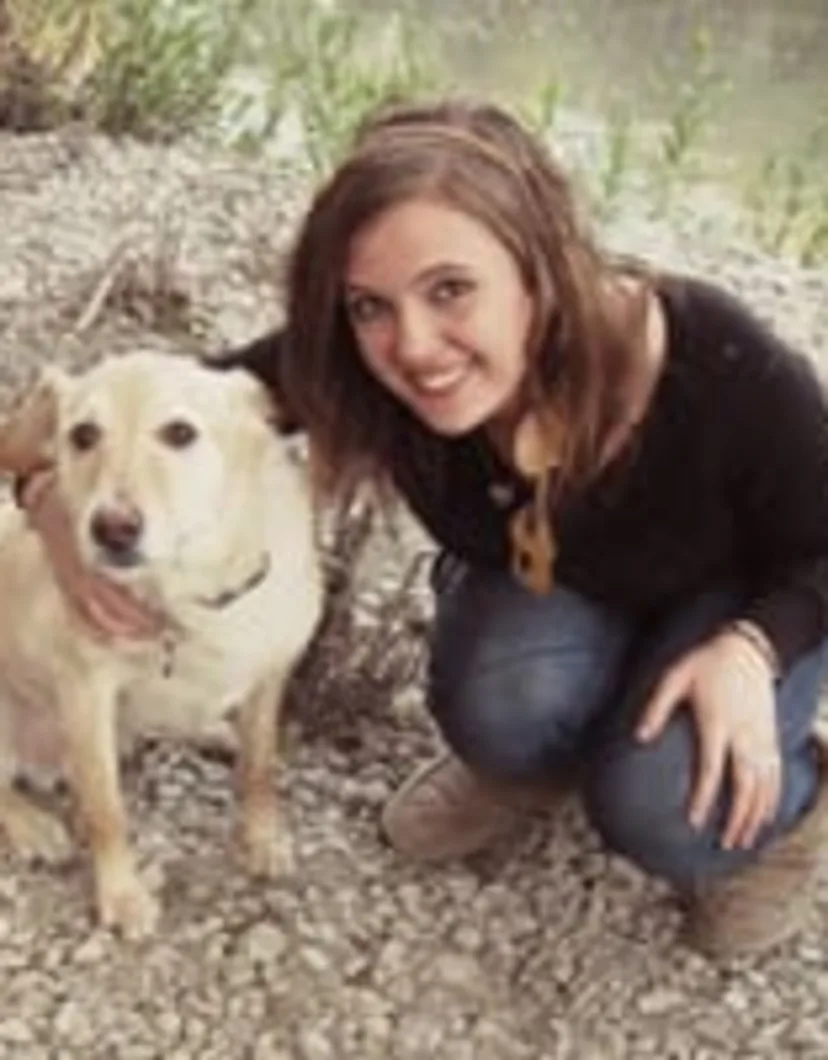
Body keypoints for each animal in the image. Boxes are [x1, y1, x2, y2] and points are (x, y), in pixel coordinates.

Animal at [0, 351, 322, 941]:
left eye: (180, 433)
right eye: (83, 435)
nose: (113, 529)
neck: (189, 591)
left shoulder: (271, 673)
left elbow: (260, 767)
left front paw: (261, 838)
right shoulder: (86, 693)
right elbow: (106, 808)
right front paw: (122, 895)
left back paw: (213, 732)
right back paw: (34, 826)